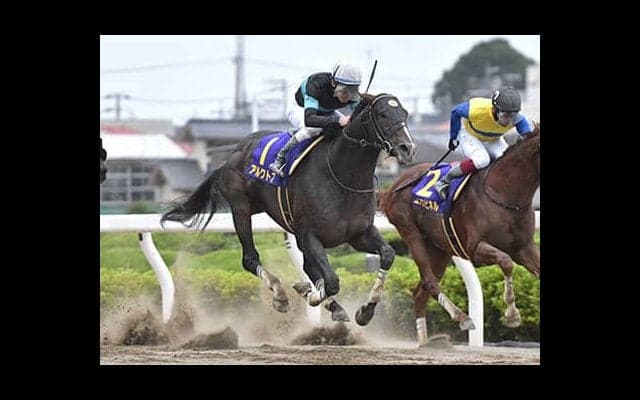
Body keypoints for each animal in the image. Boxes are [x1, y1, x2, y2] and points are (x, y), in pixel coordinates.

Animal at [162, 93, 417, 325]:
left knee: (305, 266)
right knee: (250, 259)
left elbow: (388, 255)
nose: (407, 148)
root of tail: (232, 154)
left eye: (404, 113)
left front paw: (366, 310)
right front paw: (310, 294)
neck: (343, 176)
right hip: (240, 208)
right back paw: (280, 295)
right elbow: (331, 281)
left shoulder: (358, 234)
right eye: (382, 114)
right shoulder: (309, 236)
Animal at [379, 123, 540, 346]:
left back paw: (425, 341)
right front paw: (512, 315)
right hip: (411, 232)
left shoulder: (524, 248)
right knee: (429, 281)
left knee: (420, 292)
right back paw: (461, 317)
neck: (504, 193)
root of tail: (393, 186)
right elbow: (506, 262)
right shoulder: (475, 249)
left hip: (439, 249)